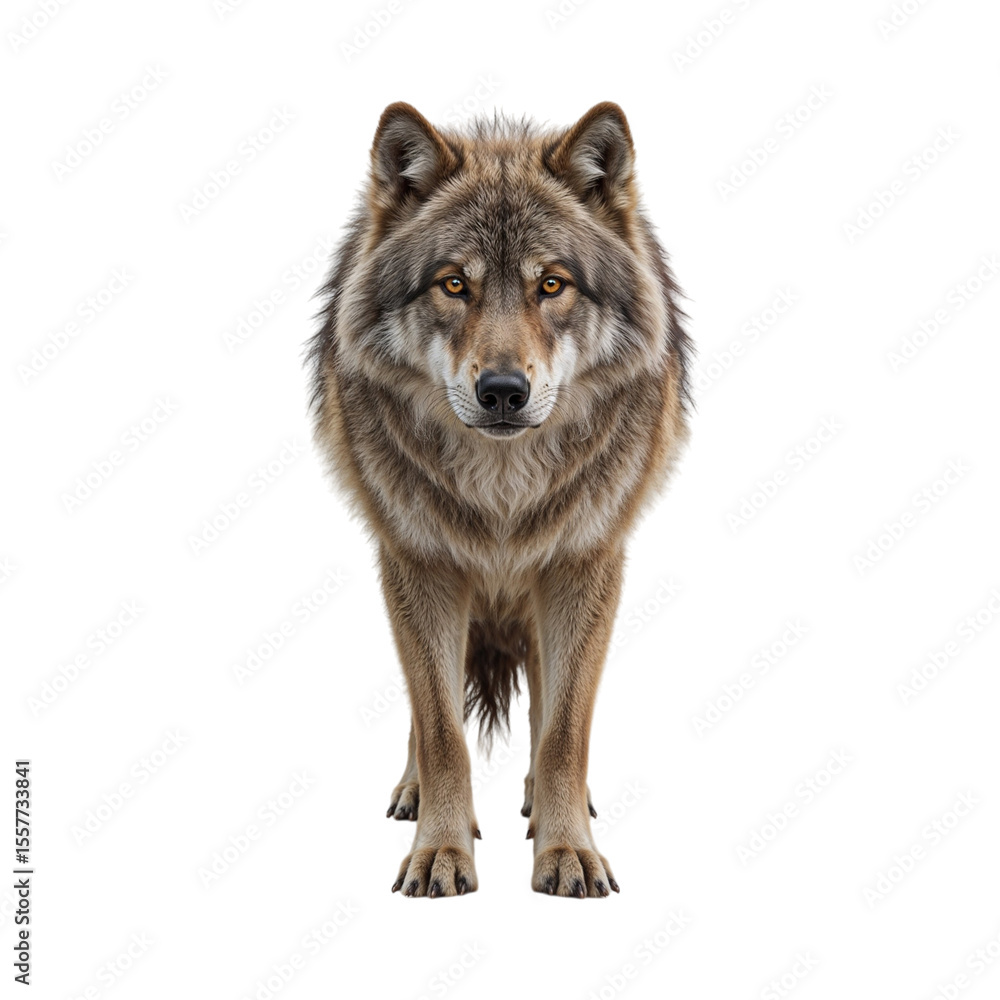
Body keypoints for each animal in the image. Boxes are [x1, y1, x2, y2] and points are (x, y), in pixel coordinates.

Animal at [308, 101, 691, 897]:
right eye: (454, 285)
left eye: (553, 285)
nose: (504, 392)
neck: (503, 489)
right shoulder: (418, 563)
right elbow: (440, 729)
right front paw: (440, 851)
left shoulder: (585, 561)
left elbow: (566, 727)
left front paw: (567, 848)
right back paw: (413, 790)